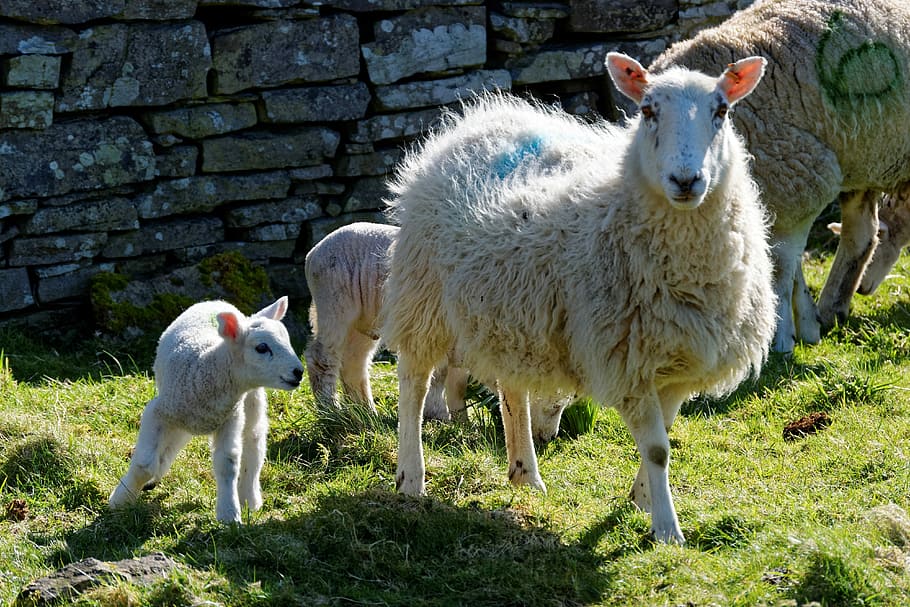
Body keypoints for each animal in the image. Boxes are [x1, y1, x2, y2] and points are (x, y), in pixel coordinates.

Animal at [108, 297, 304, 523]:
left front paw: (229, 514)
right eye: (262, 348)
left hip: (251, 403)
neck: (209, 367)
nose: (299, 372)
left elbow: (227, 464)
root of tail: (219, 301)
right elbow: (144, 465)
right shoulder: (158, 411)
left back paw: (249, 498)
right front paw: (120, 500)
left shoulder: (231, 418)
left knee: (253, 443)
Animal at [381, 53, 775, 544]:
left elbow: (663, 439)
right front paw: (667, 529)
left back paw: (525, 475)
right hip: (423, 293)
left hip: (510, 310)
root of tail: (477, 118)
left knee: (512, 390)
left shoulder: (677, 365)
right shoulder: (628, 362)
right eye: (647, 110)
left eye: (721, 110)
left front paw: (642, 501)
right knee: (413, 382)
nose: (686, 180)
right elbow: (658, 448)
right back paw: (411, 478)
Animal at [649, 0, 910, 352]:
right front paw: (805, 325)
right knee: (862, 234)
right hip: (863, 157)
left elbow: (780, 264)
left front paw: (782, 338)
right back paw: (832, 308)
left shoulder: (796, 181)